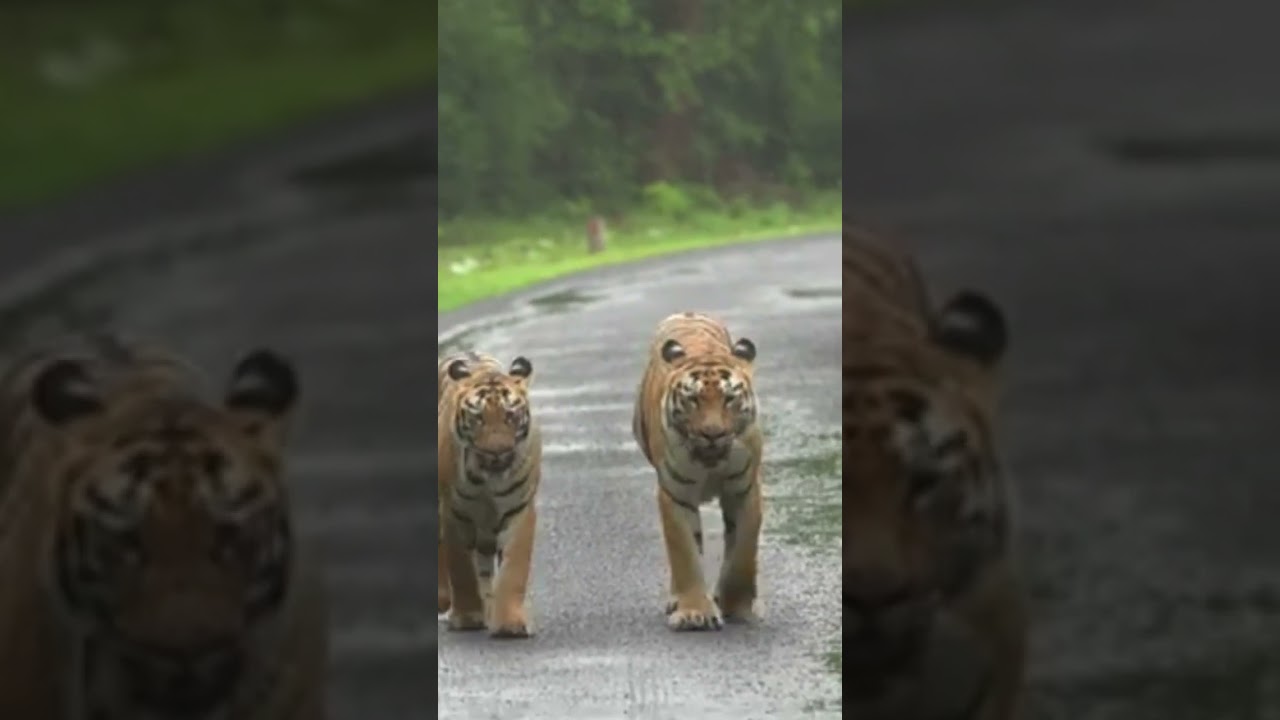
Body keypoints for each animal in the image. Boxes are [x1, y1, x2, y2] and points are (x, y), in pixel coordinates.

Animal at [437, 351, 541, 639]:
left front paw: (509, 623)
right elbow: (461, 569)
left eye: (510, 416)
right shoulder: (454, 515)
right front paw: (467, 616)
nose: (497, 452)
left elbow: (513, 569)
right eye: (478, 418)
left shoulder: (520, 512)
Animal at [631, 311, 763, 632]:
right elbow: (685, 553)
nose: (712, 433)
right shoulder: (675, 493)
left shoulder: (744, 488)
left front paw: (736, 606)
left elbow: (744, 549)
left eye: (729, 399)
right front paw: (693, 612)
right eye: (693, 399)